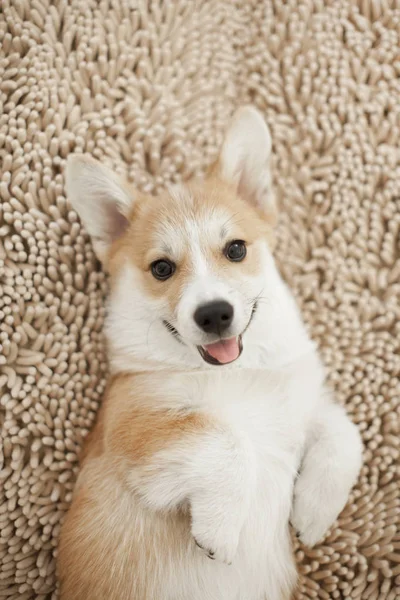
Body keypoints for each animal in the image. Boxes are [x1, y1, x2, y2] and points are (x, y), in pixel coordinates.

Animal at [58, 108, 362, 600]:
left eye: (235, 249)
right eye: (162, 268)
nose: (214, 313)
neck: (240, 372)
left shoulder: (303, 406)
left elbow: (346, 434)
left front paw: (313, 514)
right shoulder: (135, 423)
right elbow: (224, 437)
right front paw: (220, 529)